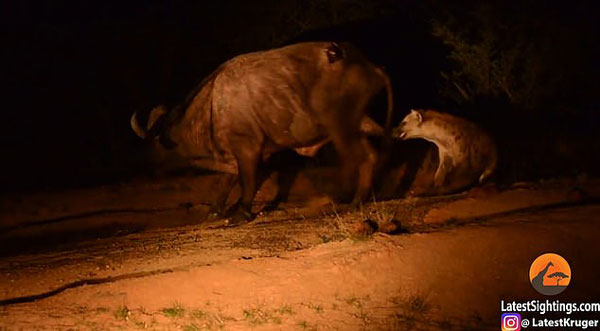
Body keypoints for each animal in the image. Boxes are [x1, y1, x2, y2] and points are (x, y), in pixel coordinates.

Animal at [131, 41, 394, 223]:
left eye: (154, 142)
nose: (141, 161)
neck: (212, 107)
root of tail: (371, 66)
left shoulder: (247, 148)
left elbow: (247, 181)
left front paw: (240, 213)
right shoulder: (234, 155)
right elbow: (225, 183)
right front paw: (216, 211)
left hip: (340, 125)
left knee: (355, 158)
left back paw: (341, 197)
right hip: (359, 123)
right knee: (370, 154)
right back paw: (358, 199)